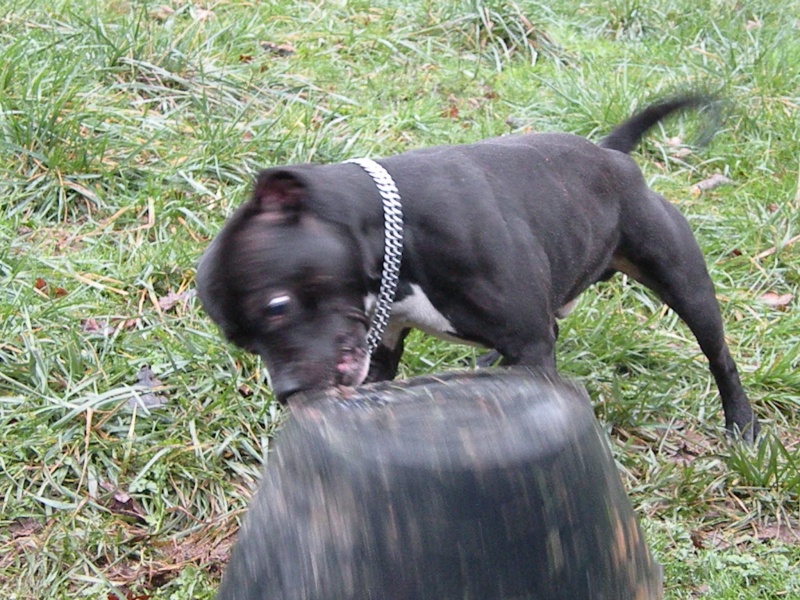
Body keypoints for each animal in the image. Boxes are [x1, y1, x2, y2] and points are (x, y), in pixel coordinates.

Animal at [197, 96, 760, 438]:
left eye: (277, 306)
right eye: (239, 341)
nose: (288, 393)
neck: (395, 232)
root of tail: (611, 156)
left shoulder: (532, 347)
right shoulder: (380, 352)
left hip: (682, 278)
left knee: (719, 355)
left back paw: (742, 426)